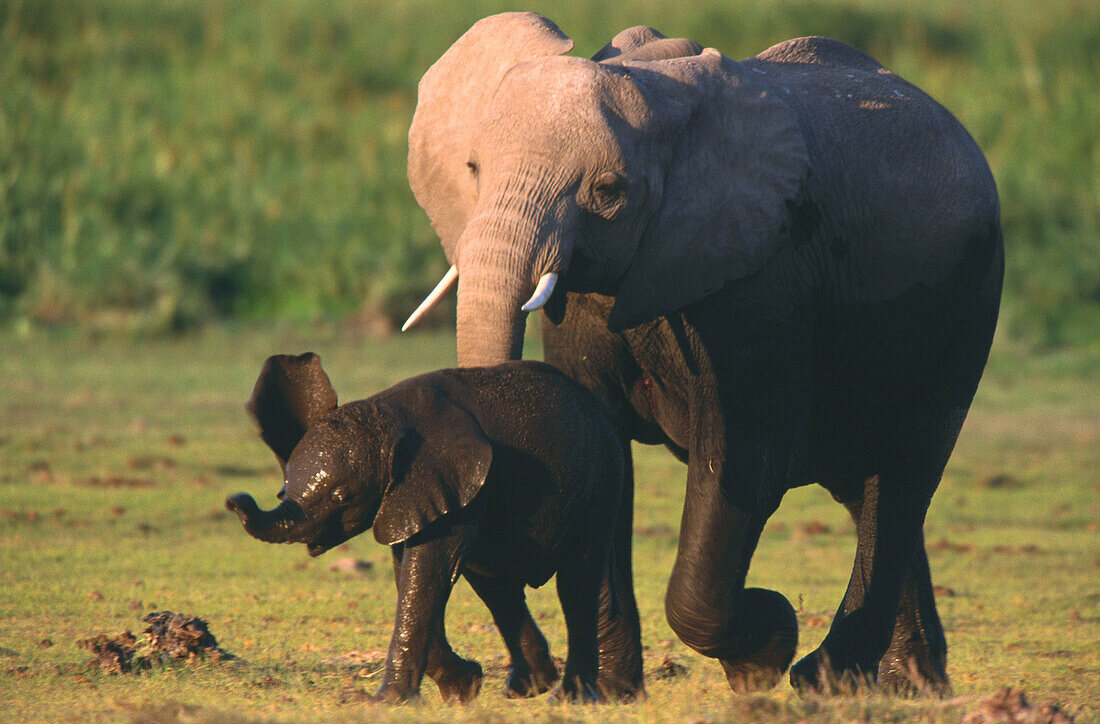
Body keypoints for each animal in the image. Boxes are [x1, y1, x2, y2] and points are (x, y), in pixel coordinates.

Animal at [223, 352, 629, 704]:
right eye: (284, 487)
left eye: (342, 496)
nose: (234, 500)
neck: (385, 415)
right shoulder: (409, 496)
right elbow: (410, 572)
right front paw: (464, 688)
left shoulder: (450, 483)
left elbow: (425, 572)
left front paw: (385, 703)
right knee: (495, 584)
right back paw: (529, 687)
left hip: (602, 477)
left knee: (577, 579)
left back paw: (569, 698)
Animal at [400, 14, 1003, 695]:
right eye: (473, 168)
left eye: (608, 191)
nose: (517, 679)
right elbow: (608, 455)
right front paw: (614, 694)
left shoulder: (761, 281)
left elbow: (745, 462)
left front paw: (764, 649)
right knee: (864, 482)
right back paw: (911, 683)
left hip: (970, 301)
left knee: (902, 474)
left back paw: (827, 676)